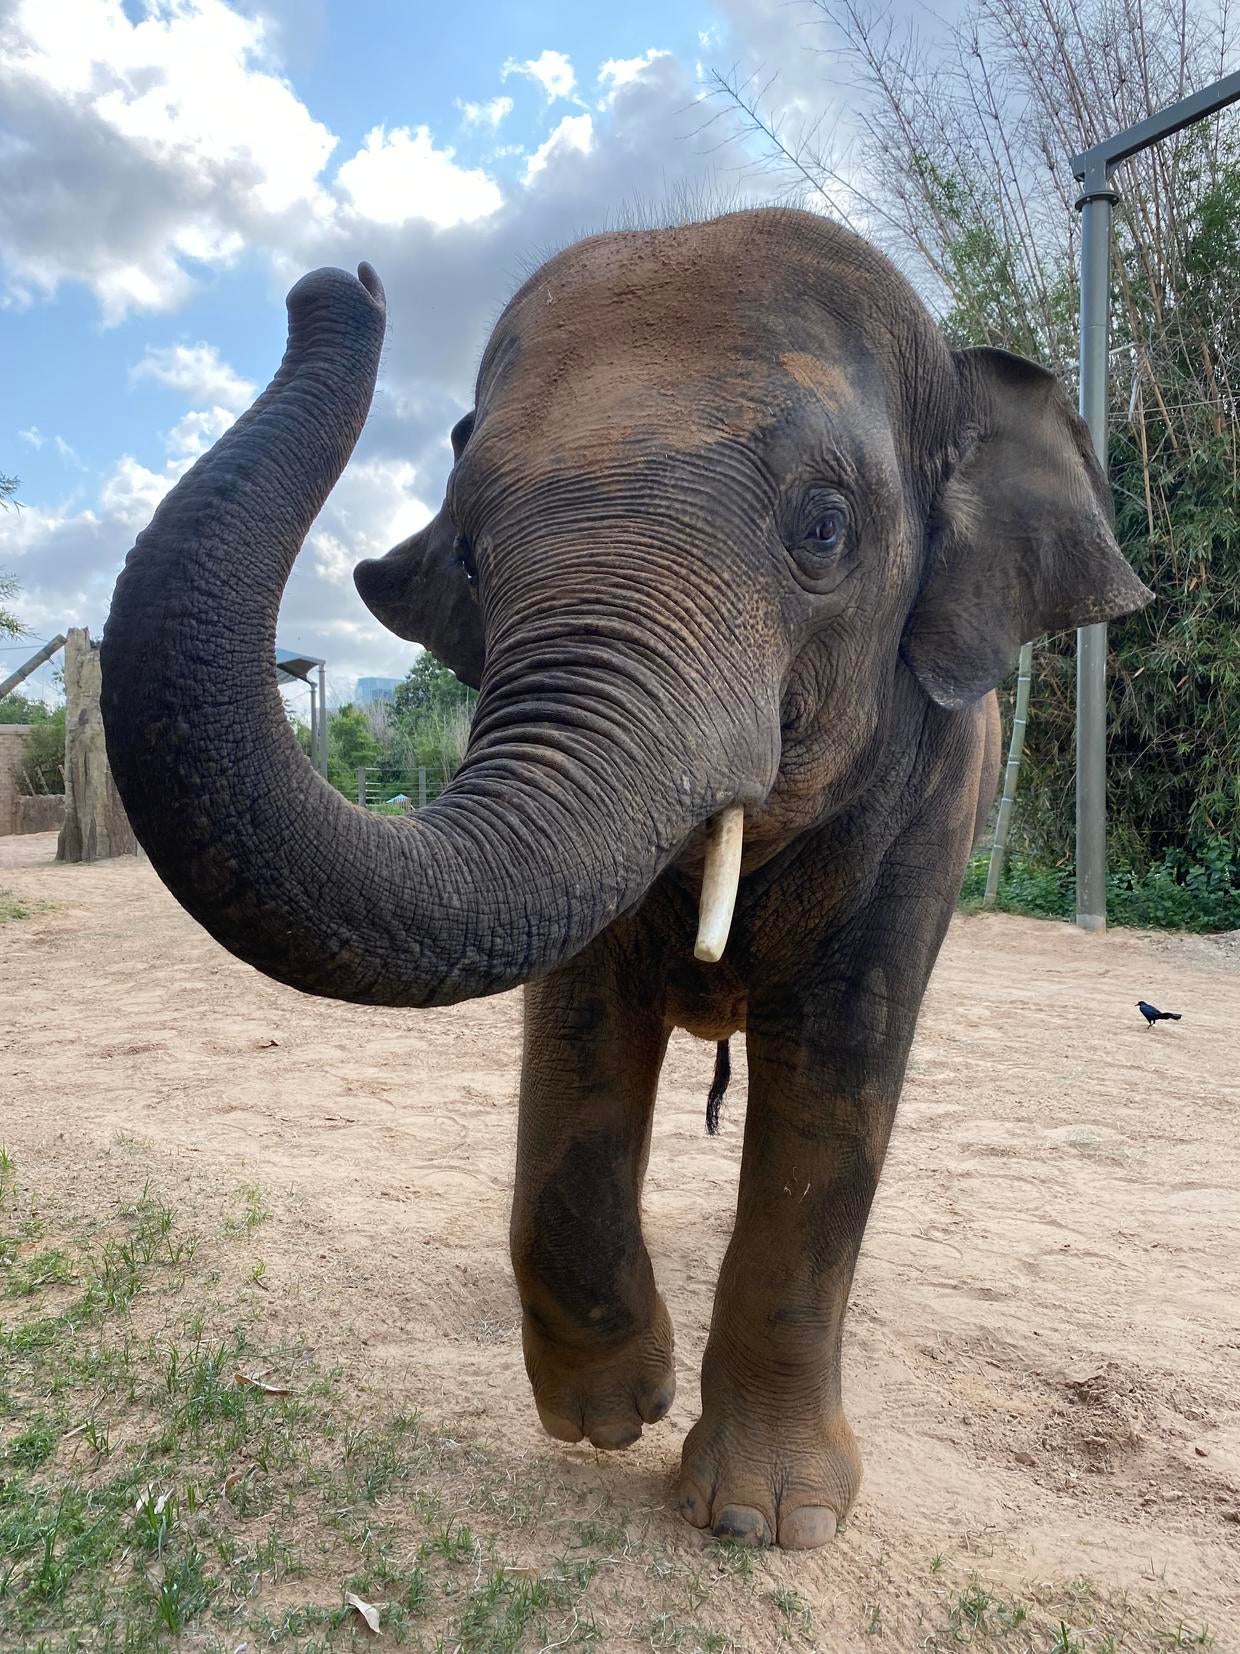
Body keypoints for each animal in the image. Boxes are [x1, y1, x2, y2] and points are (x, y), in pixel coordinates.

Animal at [99, 206, 1157, 1548]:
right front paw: (611, 1421)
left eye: (824, 528)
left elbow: (841, 1059)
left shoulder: (934, 795)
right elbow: (580, 1029)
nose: (348, 284)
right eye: (470, 557)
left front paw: (763, 1522)